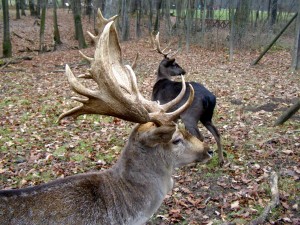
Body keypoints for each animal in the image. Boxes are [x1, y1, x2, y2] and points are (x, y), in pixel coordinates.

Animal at [151, 32, 224, 166]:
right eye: (175, 64)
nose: (183, 71)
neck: (160, 81)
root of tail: (209, 98)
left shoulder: (160, 107)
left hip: (190, 116)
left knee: (200, 136)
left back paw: (195, 163)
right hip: (206, 116)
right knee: (217, 133)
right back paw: (221, 161)